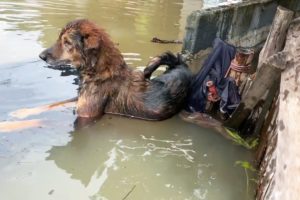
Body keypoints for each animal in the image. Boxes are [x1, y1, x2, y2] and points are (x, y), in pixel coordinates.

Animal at [38, 19, 191, 121]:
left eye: (67, 42)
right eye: (60, 39)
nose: (41, 56)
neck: (99, 72)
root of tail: (181, 65)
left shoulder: (86, 115)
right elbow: (51, 105)